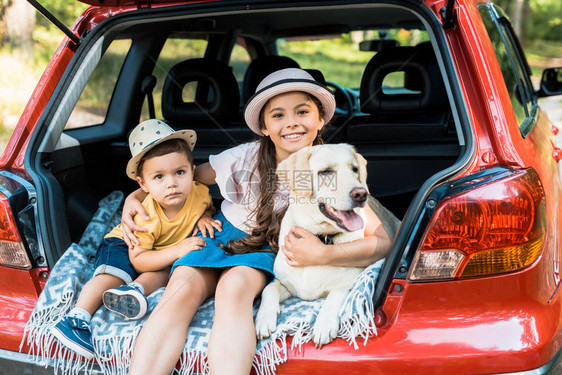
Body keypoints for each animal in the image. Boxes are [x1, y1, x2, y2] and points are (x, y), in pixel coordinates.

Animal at [256, 143, 370, 346]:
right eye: (325, 172)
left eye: (355, 169)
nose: (361, 194)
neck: (320, 236)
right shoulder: (285, 284)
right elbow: (269, 288)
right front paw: (264, 319)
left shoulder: (349, 281)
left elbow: (336, 293)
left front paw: (324, 324)